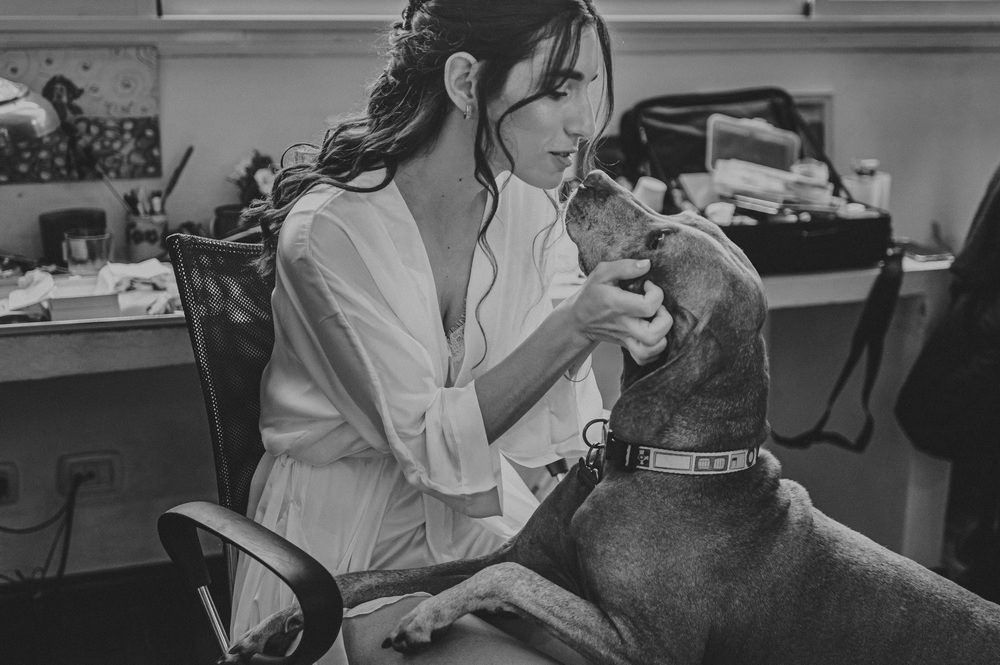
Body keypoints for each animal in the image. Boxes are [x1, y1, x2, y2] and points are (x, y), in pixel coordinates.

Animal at [225, 169, 1000, 660]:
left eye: (659, 243)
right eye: (677, 220)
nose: (594, 172)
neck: (660, 465)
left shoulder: (648, 645)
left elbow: (501, 582)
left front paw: (427, 615)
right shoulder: (518, 552)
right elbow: (368, 579)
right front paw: (282, 620)